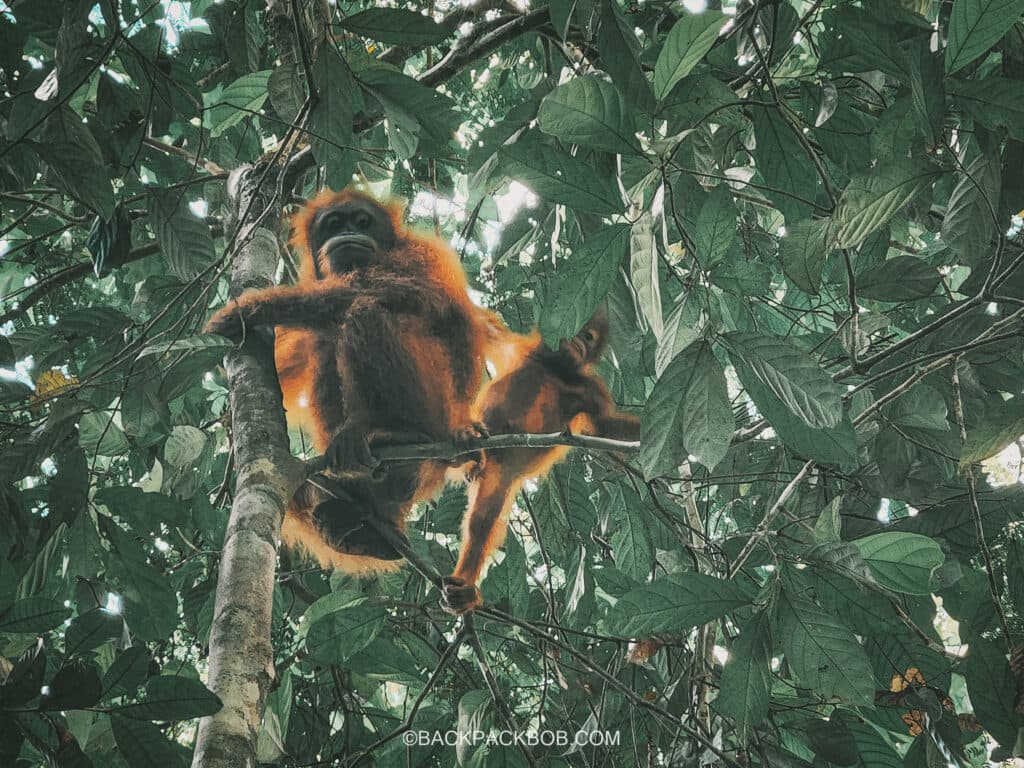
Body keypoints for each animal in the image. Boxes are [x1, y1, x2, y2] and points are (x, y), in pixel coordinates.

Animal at [205, 189, 496, 574]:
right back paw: (359, 522)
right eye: (333, 224)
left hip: (437, 406)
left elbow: (396, 291)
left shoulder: (420, 254)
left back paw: (391, 434)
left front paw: (249, 310)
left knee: (365, 309)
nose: (347, 233)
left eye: (361, 221)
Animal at [441, 313, 640, 615]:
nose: (581, 341)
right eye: (583, 331)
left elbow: (605, 425)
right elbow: (482, 327)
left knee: (482, 521)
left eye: (590, 336)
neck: (557, 370)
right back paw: (467, 447)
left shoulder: (592, 392)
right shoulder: (522, 348)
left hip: (500, 475)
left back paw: (465, 590)